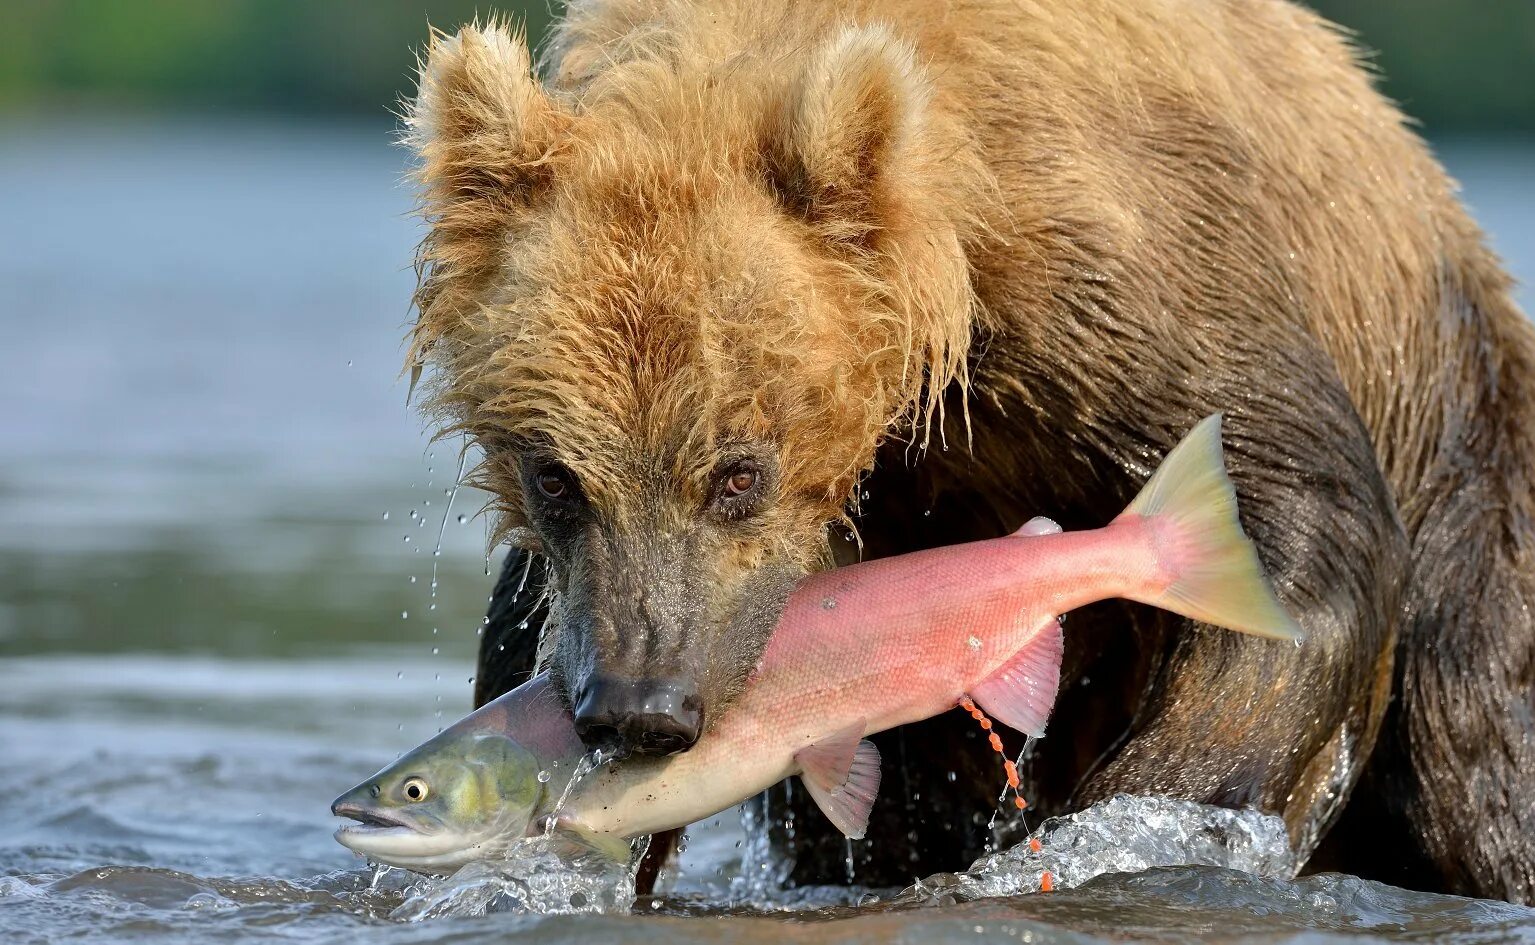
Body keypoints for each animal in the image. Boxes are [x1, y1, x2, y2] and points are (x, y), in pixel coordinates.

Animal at [405, 0, 1535, 902]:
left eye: (736, 472)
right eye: (554, 475)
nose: (640, 707)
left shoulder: (1127, 272)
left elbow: (1290, 527)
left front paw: (1127, 827)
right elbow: (526, 628)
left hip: (1471, 479)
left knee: (1476, 748)